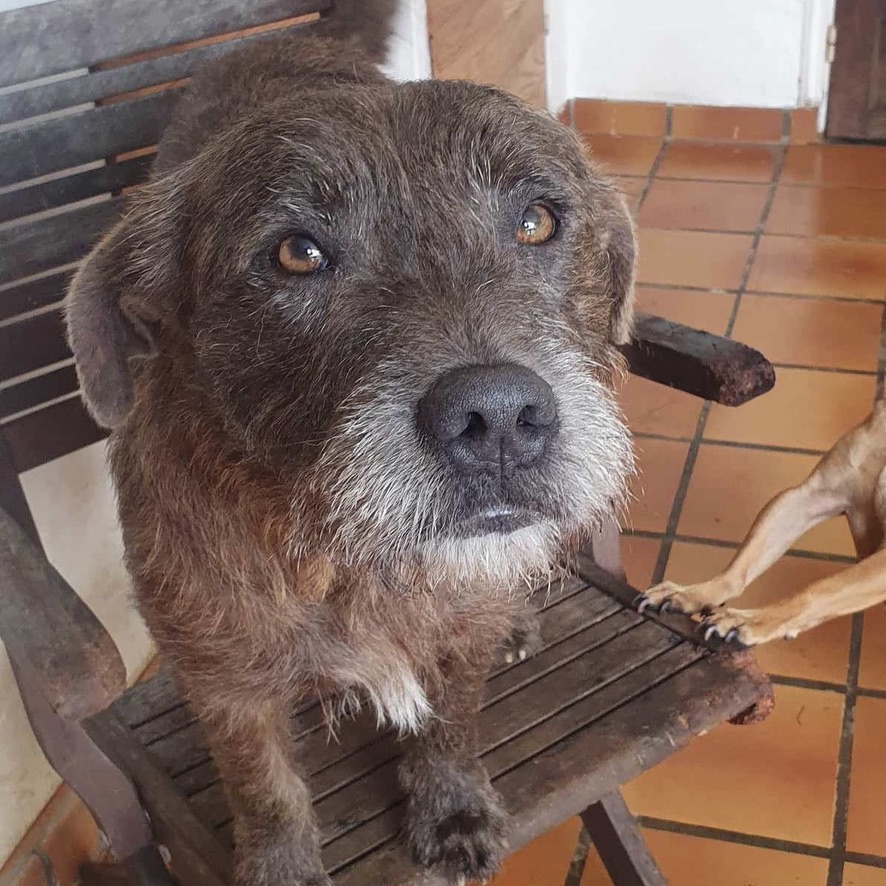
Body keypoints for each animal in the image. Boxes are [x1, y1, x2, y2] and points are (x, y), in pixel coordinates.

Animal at [67, 3, 640, 884]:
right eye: (297, 252)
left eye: (538, 220)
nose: (497, 417)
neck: (351, 564)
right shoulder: (224, 683)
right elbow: (262, 787)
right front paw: (280, 862)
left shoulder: (458, 637)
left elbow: (453, 720)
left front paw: (451, 800)